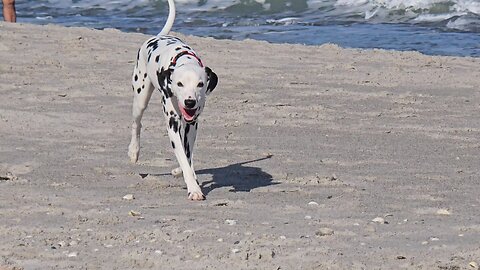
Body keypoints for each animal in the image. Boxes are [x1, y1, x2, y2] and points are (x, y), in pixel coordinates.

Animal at [127, 0, 218, 200]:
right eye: (179, 84)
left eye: (200, 84)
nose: (190, 102)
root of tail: (157, 37)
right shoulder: (172, 124)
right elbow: (183, 157)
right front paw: (193, 188)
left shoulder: (192, 124)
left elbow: (187, 155)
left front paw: (185, 174)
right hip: (140, 97)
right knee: (137, 123)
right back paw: (134, 151)